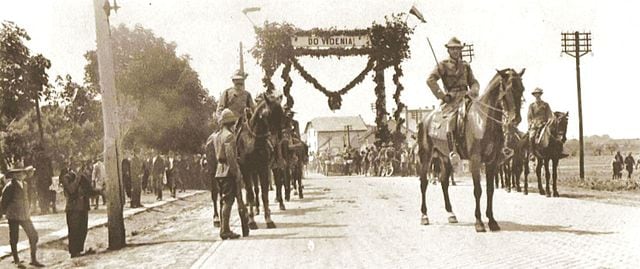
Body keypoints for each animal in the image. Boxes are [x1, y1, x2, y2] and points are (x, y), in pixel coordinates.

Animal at [418, 68, 528, 231]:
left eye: (521, 89)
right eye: (507, 90)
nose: (516, 119)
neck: (482, 120)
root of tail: (425, 119)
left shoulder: (492, 162)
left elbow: (490, 190)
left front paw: (492, 221)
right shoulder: (475, 160)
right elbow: (478, 190)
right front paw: (479, 222)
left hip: (446, 157)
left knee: (444, 182)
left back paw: (451, 214)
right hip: (426, 156)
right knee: (424, 183)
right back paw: (424, 216)